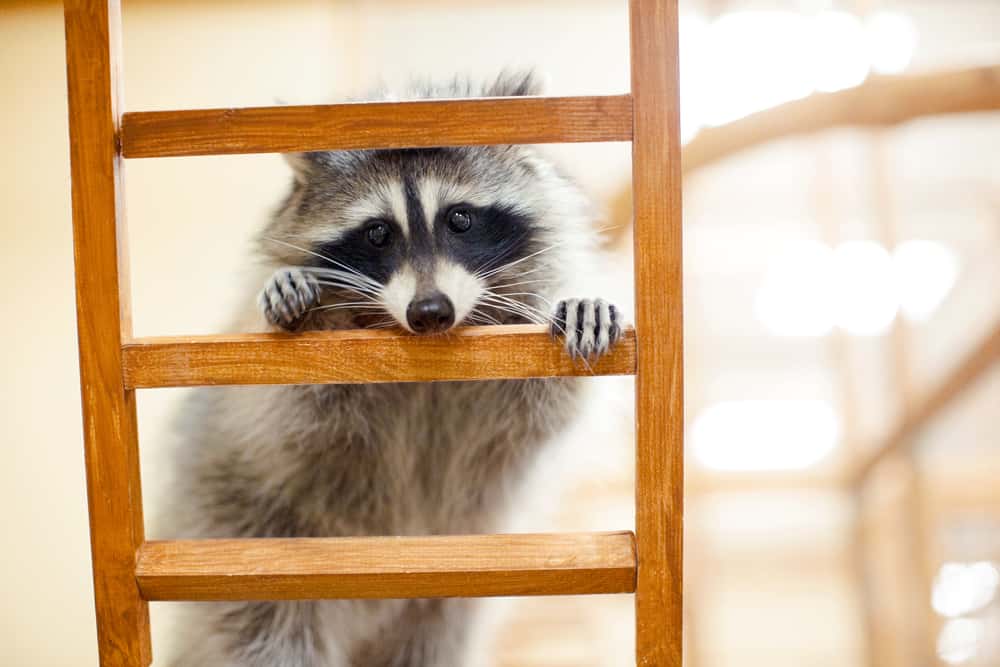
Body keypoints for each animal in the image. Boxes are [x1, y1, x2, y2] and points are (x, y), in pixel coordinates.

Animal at [165, 72, 624, 667]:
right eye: (378, 233)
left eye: (459, 218)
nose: (429, 312)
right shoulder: (269, 408)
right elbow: (285, 404)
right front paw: (311, 309)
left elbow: (547, 403)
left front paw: (570, 302)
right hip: (244, 533)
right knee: (266, 636)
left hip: (442, 598)